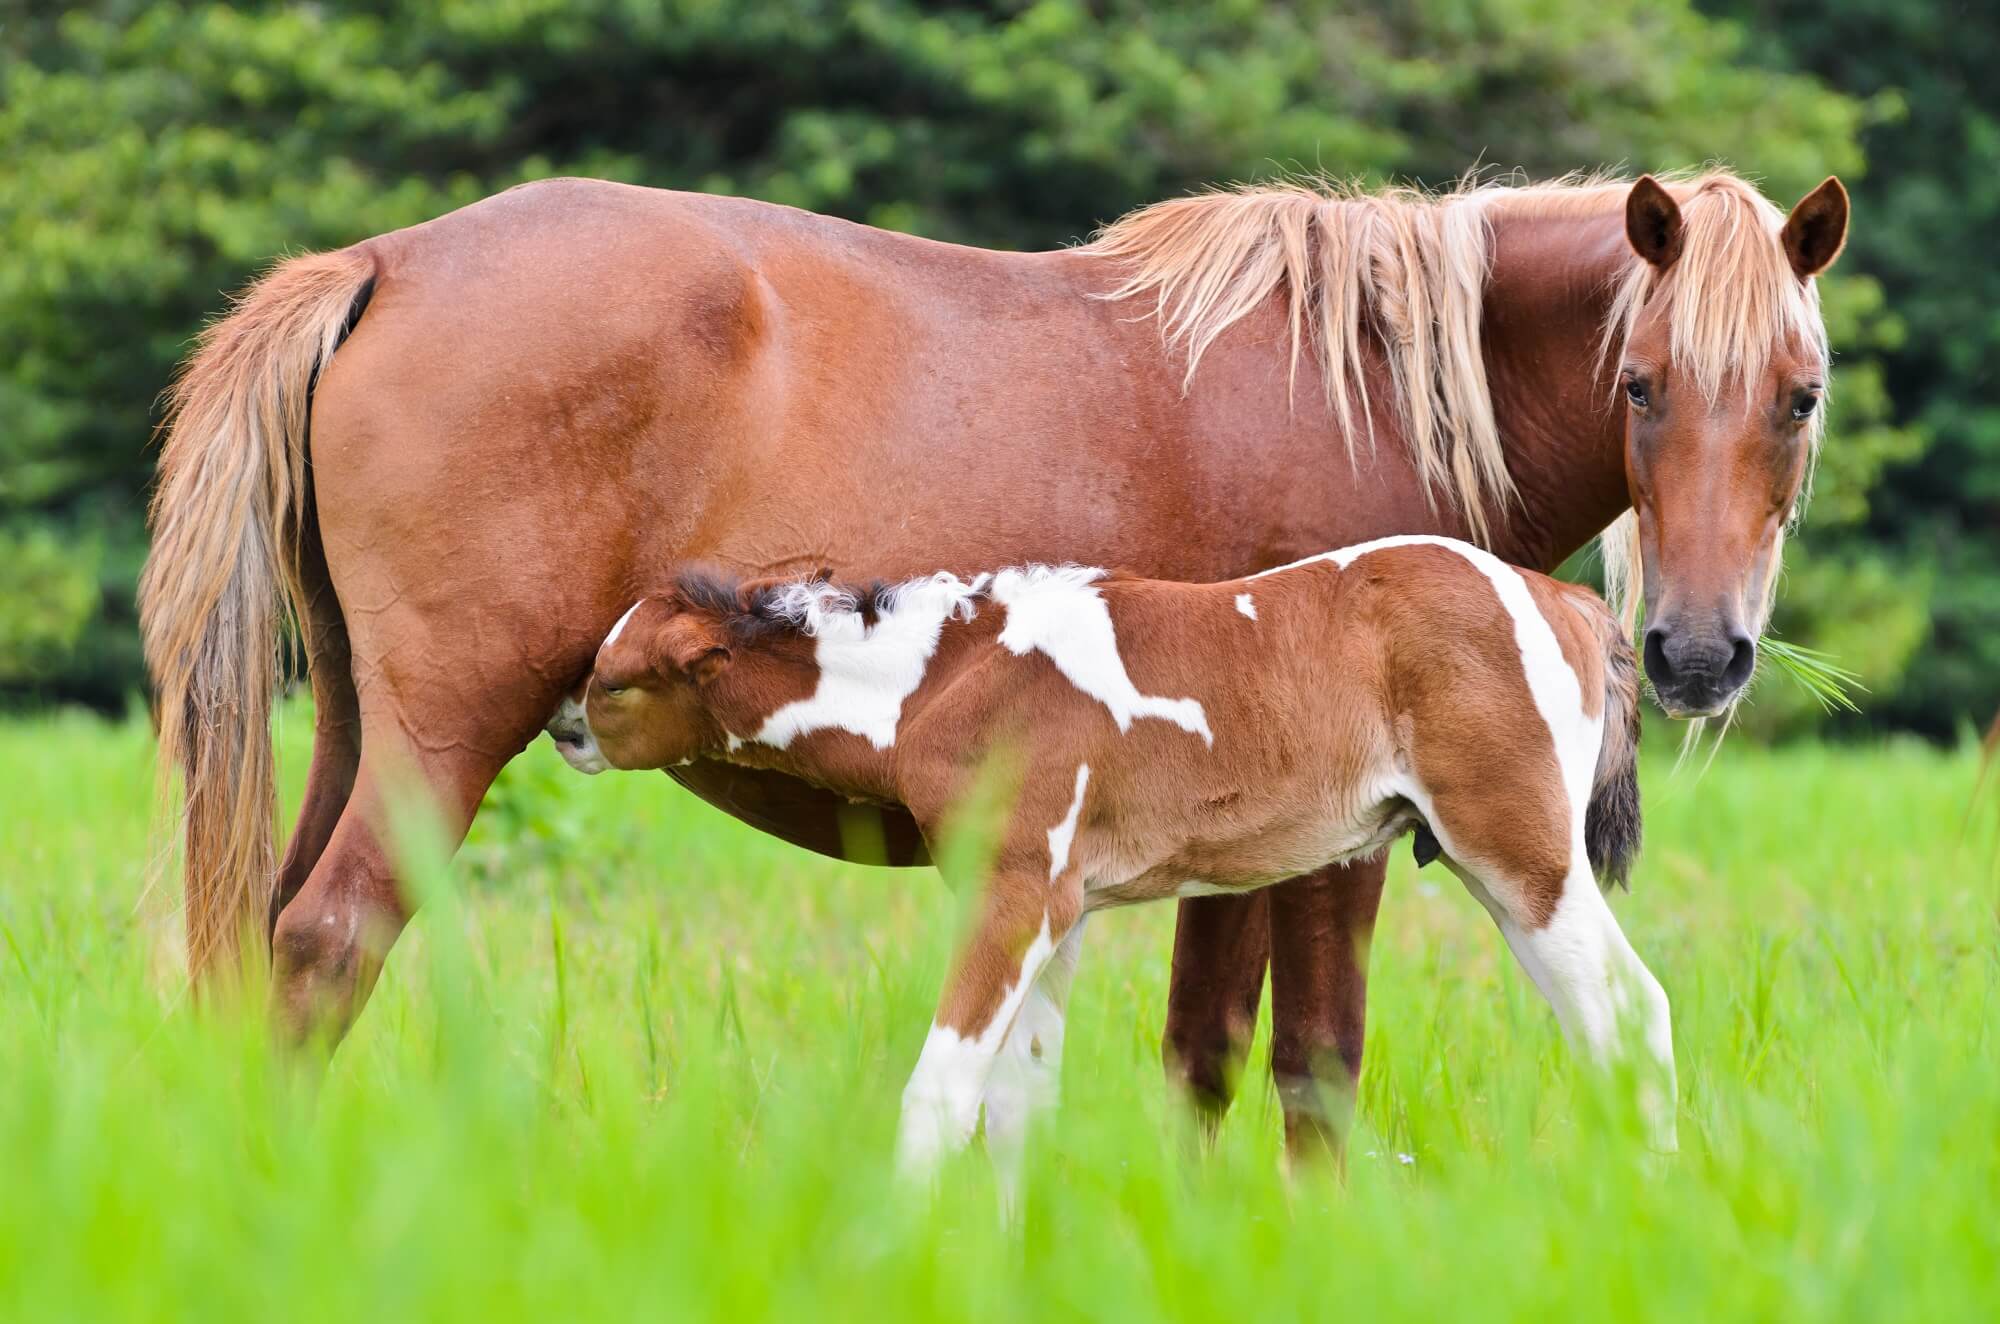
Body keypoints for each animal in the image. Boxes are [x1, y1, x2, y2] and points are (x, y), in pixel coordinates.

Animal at [548, 540, 1672, 1176]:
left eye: (616, 680)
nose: (563, 727)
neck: (943, 681)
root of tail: (1566, 603)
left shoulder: (1014, 896)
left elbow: (941, 1092)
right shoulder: (1065, 908)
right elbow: (1018, 1103)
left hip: (1520, 851)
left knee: (1631, 1007)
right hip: (1495, 868)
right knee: (1601, 1020)